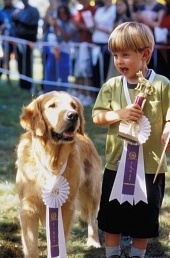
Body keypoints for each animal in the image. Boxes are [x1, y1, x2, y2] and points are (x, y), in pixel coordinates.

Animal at [15, 91, 101, 258]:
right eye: (52, 105)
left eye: (73, 105)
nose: (73, 115)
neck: (52, 162)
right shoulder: (28, 208)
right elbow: (31, 246)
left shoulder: (66, 206)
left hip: (92, 190)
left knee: (93, 217)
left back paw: (94, 242)